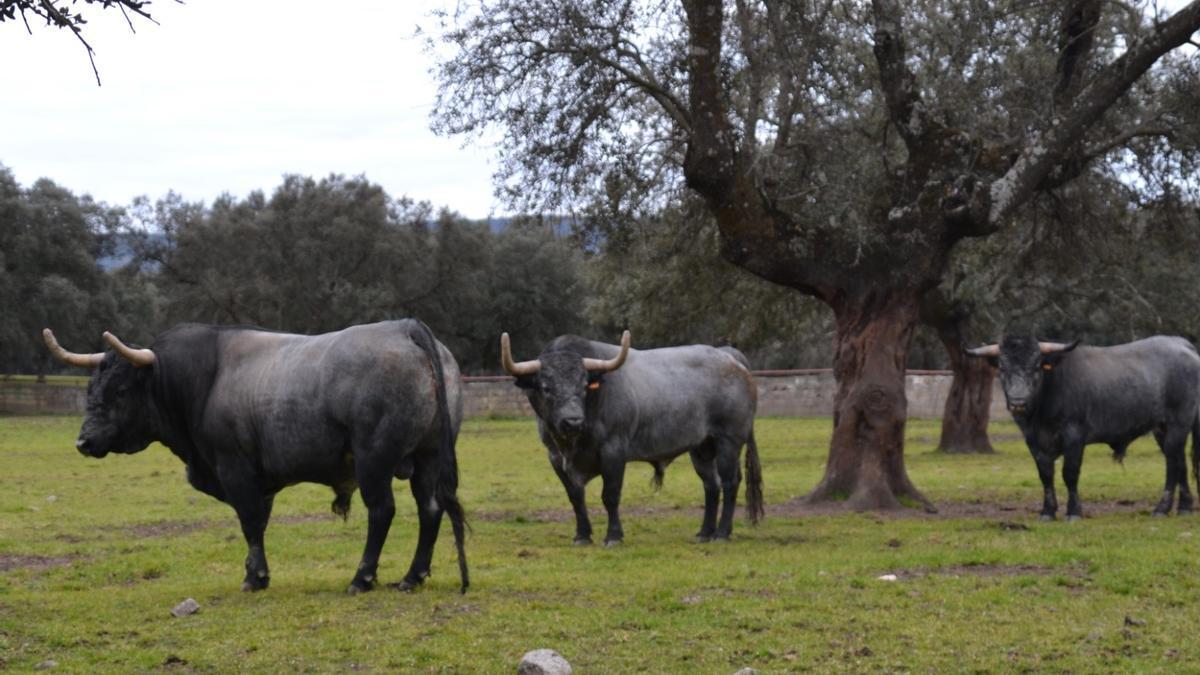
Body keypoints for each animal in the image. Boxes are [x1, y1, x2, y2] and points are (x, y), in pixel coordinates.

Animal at [42, 317, 465, 590]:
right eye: (90, 388)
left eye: (121, 389)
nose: (84, 442)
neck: (201, 378)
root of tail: (404, 327)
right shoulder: (261, 479)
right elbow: (259, 521)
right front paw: (254, 572)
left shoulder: (234, 467)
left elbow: (249, 521)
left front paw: (255, 577)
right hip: (428, 455)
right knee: (430, 509)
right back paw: (412, 577)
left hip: (373, 458)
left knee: (381, 512)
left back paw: (362, 578)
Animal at [501, 329, 763, 542]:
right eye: (546, 387)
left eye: (584, 385)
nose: (573, 421)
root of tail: (729, 357)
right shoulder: (555, 457)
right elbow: (575, 497)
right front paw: (582, 535)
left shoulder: (614, 451)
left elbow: (610, 495)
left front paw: (613, 536)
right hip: (701, 447)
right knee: (711, 485)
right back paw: (705, 532)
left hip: (729, 441)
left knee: (729, 482)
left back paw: (722, 533)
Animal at [964, 336, 1200, 521]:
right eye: (1003, 368)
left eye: (1036, 366)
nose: (1018, 401)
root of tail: (1183, 344)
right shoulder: (1034, 441)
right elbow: (1045, 474)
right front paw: (1047, 512)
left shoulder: (1074, 436)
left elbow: (1069, 473)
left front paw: (1074, 512)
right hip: (1162, 428)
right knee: (1180, 463)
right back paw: (1184, 507)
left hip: (1179, 423)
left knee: (1172, 464)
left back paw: (1162, 509)